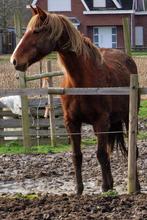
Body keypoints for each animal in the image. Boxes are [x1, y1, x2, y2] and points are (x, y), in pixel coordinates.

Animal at [10, 5, 140, 194]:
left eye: (36, 31)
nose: (14, 60)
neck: (81, 81)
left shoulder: (101, 121)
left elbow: (100, 154)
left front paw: (104, 187)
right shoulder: (72, 122)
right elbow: (77, 156)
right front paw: (79, 189)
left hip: (127, 118)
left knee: (132, 150)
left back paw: (135, 186)